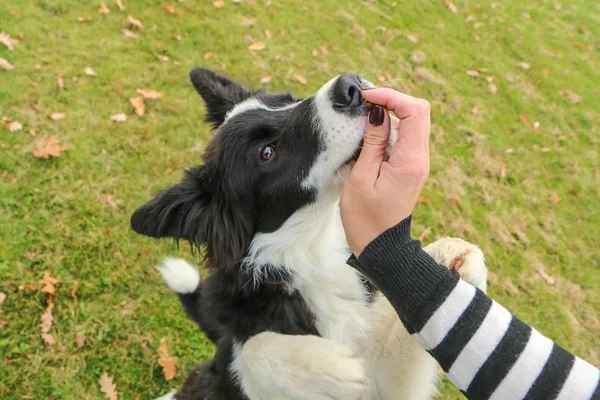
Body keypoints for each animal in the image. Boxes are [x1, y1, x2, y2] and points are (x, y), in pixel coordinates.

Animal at [132, 69, 488, 400]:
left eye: (289, 99)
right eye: (267, 152)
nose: (350, 86)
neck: (314, 249)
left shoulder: (390, 385)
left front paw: (453, 258)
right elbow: (252, 349)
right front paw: (329, 367)